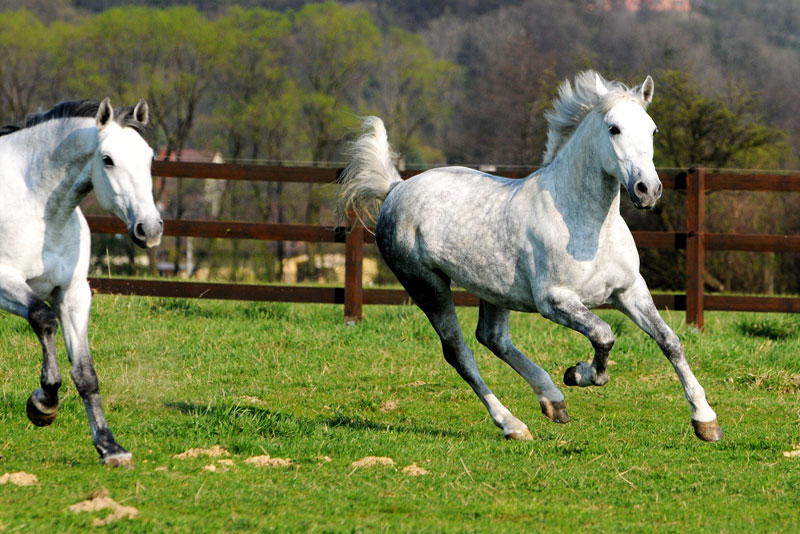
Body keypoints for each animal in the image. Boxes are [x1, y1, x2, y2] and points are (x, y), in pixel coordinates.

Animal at [0, 98, 162, 466]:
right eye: (108, 160)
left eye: (149, 157)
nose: (150, 229)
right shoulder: (4, 281)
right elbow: (42, 318)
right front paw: (43, 404)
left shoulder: (73, 295)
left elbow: (86, 374)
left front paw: (110, 447)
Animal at [334, 73, 720, 446]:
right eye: (614, 129)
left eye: (652, 129)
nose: (648, 191)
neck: (587, 227)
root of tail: (396, 188)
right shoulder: (554, 300)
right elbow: (604, 334)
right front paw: (578, 374)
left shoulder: (629, 291)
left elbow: (669, 341)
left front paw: (705, 421)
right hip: (427, 286)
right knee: (459, 353)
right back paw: (514, 425)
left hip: (493, 291)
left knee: (492, 338)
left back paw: (552, 401)